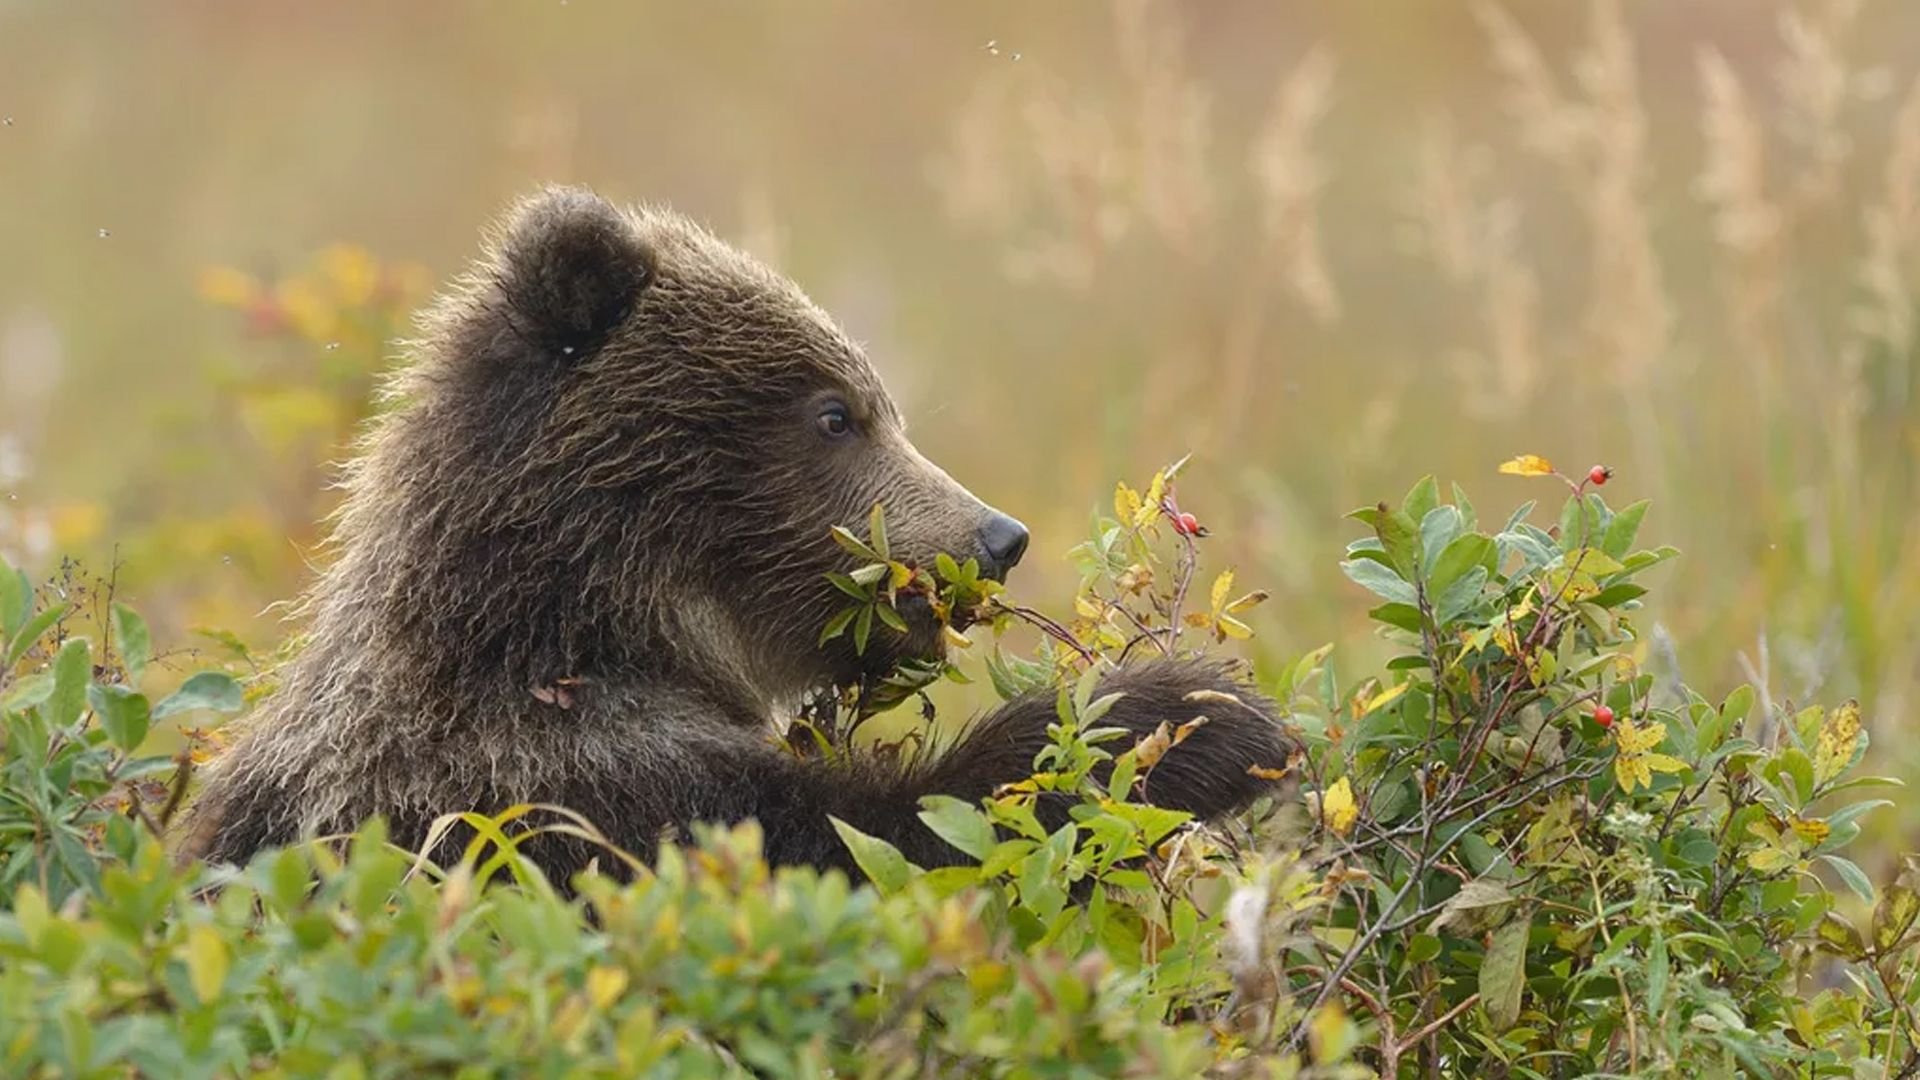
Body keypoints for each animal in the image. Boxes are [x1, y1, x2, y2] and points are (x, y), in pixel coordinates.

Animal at [176, 184, 1290, 876]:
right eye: (836, 413)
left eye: (876, 404)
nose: (997, 537)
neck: (577, 636)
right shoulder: (545, 791)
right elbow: (885, 841)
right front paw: (1196, 717)